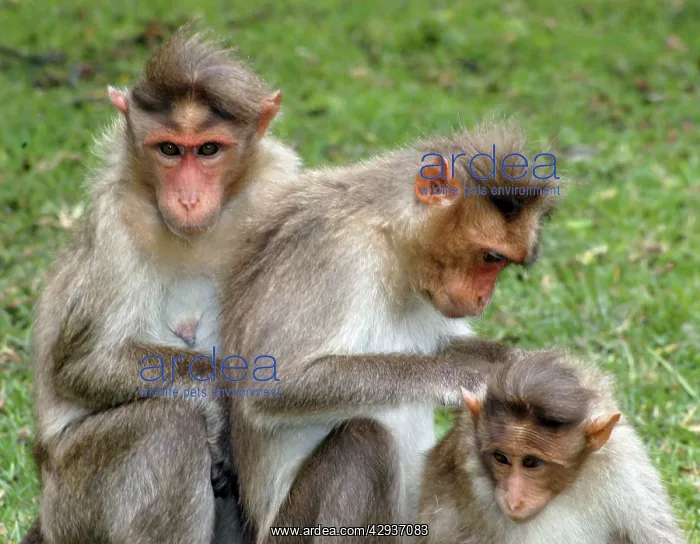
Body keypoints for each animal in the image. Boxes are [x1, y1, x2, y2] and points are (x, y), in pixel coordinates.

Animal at [24, 28, 301, 544]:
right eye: (169, 150)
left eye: (208, 149)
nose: (188, 198)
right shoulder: (115, 218)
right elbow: (87, 364)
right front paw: (215, 404)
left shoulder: (280, 193)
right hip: (73, 501)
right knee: (166, 425)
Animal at [219, 123, 566, 542]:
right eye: (491, 257)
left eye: (501, 264)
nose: (484, 298)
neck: (391, 241)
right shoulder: (333, 252)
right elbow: (270, 382)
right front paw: (463, 377)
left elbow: (443, 343)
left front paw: (518, 364)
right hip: (287, 530)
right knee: (364, 442)